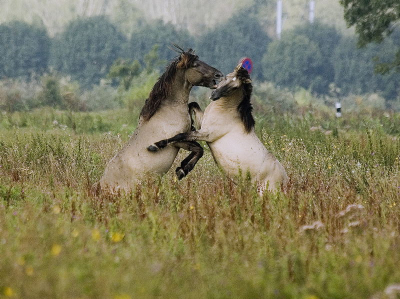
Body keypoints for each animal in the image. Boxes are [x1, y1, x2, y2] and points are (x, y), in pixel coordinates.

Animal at [97, 47, 222, 192]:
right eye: (196, 64)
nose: (219, 75)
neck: (170, 108)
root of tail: (100, 185)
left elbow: (198, 147)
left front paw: (181, 168)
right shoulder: (177, 143)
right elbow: (197, 148)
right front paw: (180, 169)